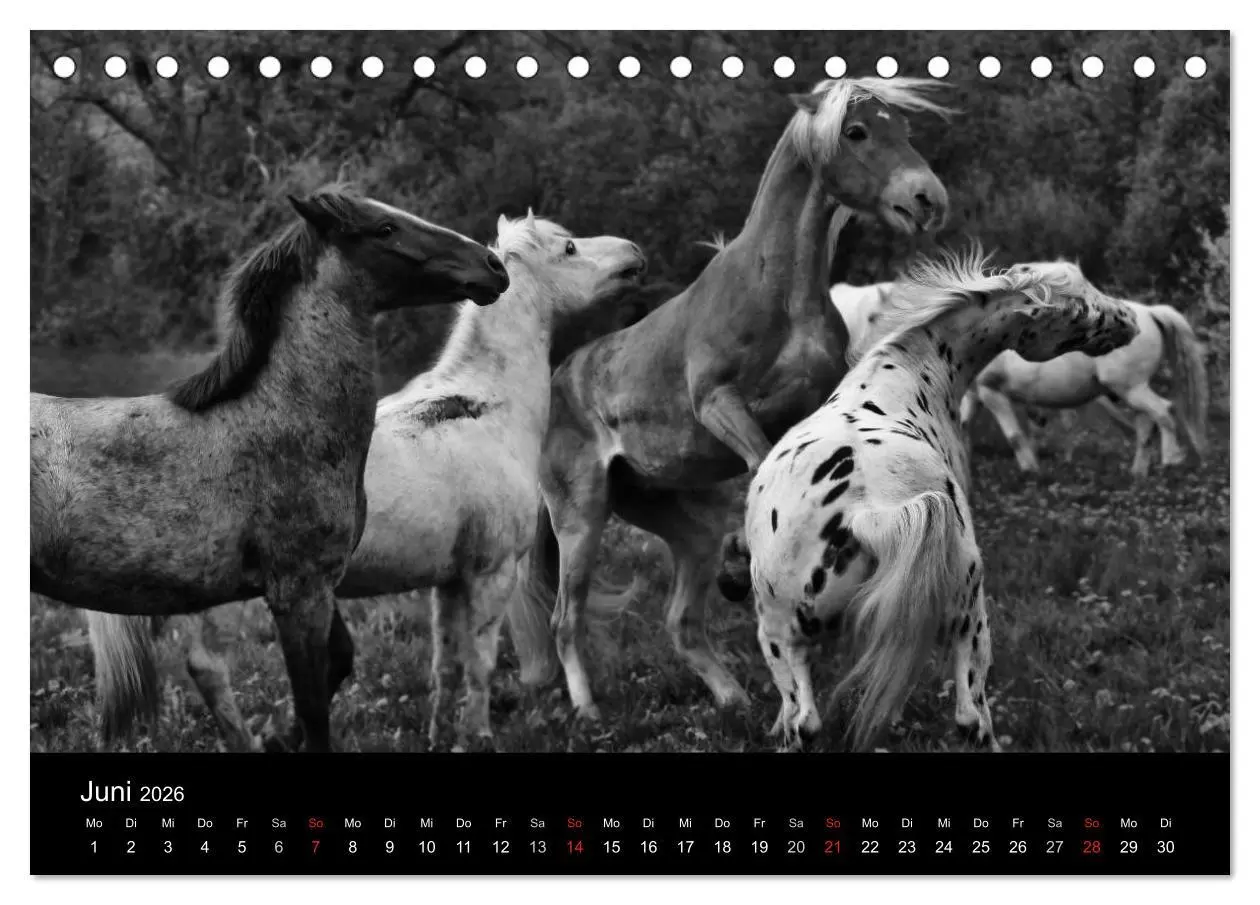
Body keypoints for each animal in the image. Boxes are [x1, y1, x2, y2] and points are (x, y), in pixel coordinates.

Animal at [37, 187, 510, 752]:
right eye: (384, 229)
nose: (492, 266)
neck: (277, 421)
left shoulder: (320, 587)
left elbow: (338, 665)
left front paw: (276, 738)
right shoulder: (298, 593)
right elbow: (314, 710)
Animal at [86, 213, 645, 750]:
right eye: (569, 248)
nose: (634, 253)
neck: (486, 407)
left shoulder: (449, 579)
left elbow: (445, 665)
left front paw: (439, 737)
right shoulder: (492, 571)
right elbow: (480, 666)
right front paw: (477, 736)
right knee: (209, 667)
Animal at [511, 76, 952, 722]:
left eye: (906, 128)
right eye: (856, 131)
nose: (927, 200)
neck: (777, 292)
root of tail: (559, 384)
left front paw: (745, 565)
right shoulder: (718, 403)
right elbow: (760, 462)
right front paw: (746, 561)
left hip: (662, 514)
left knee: (680, 619)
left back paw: (731, 694)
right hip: (581, 517)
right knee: (565, 617)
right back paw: (588, 710)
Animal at [717, 251, 1140, 751]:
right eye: (1080, 303)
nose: (1131, 319)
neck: (896, 382)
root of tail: (864, 510)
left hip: (792, 639)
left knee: (808, 721)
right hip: (965, 624)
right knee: (969, 719)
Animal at [958, 262, 1208, 477]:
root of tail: (1150, 312)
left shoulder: (991, 391)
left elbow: (1015, 436)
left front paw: (1031, 470)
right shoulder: (973, 395)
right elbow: (963, 425)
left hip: (1130, 388)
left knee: (1163, 412)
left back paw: (1169, 460)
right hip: (1133, 391)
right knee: (1147, 424)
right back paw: (1138, 473)